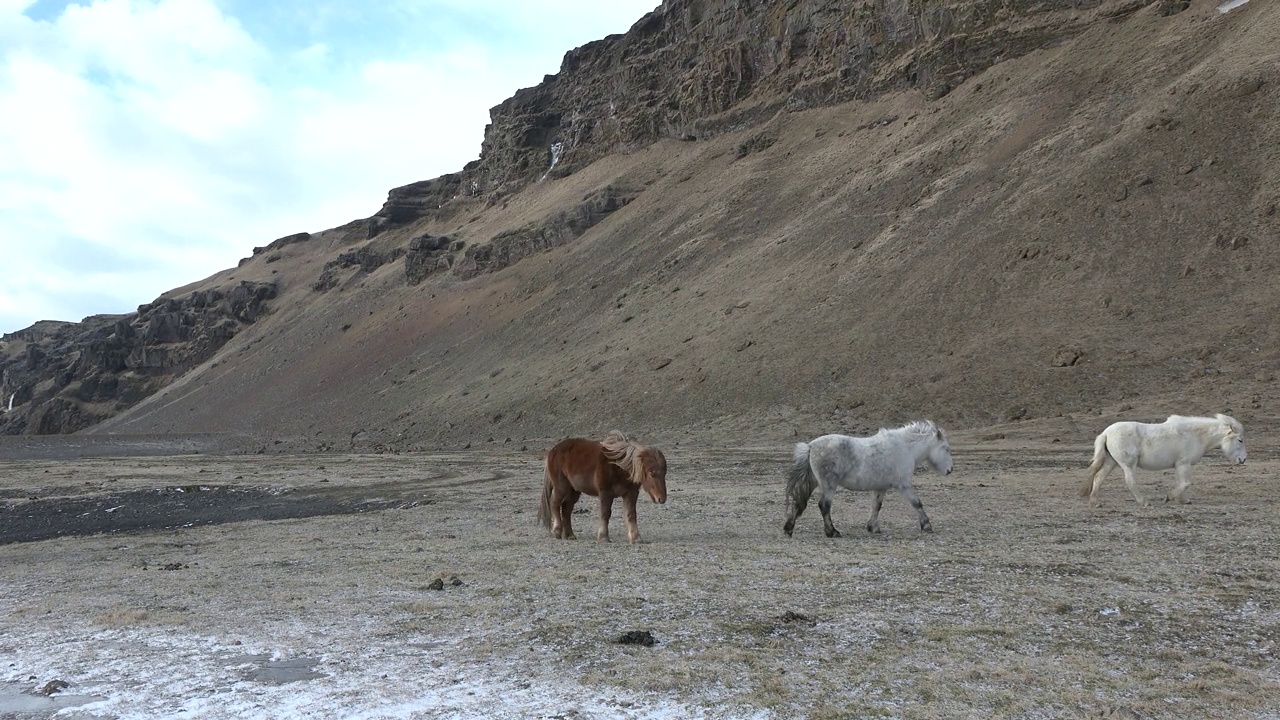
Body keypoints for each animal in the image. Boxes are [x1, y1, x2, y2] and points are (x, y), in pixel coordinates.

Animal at [535, 427, 670, 540]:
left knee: (566, 509)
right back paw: (557, 531)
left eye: (664, 473)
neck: (618, 466)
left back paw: (570, 535)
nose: (661, 499)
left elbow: (631, 514)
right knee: (555, 503)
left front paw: (636, 538)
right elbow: (606, 513)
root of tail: (553, 450)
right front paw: (604, 537)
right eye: (652, 473)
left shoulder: (631, 493)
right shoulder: (605, 493)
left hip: (574, 491)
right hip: (561, 487)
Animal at [1085, 409, 1244, 504]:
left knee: (1099, 477)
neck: (1195, 435)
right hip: (1128, 465)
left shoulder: (1180, 465)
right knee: (1130, 482)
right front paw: (1170, 497)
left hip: (1111, 462)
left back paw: (1094, 501)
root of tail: (1106, 433)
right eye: (1240, 440)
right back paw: (1143, 501)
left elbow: (1182, 482)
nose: (1243, 459)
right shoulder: (1184, 463)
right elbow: (1185, 483)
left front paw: (1183, 500)